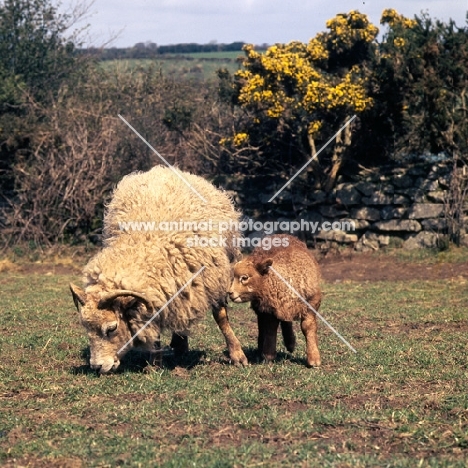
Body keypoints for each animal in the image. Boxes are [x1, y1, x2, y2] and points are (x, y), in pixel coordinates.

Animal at [228, 236, 322, 368]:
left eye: (244, 277)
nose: (230, 293)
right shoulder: (268, 309)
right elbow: (270, 329)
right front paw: (268, 356)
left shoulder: (312, 303)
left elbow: (308, 327)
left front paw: (314, 358)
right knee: (263, 325)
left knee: (285, 321)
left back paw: (290, 343)